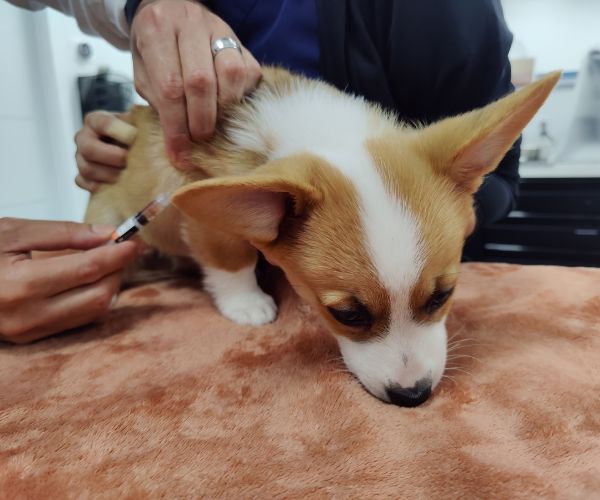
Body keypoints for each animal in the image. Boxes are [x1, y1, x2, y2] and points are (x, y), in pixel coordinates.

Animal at [86, 67, 560, 406]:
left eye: (442, 296)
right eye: (347, 315)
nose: (413, 396)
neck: (327, 134)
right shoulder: (207, 215)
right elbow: (230, 258)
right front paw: (247, 304)